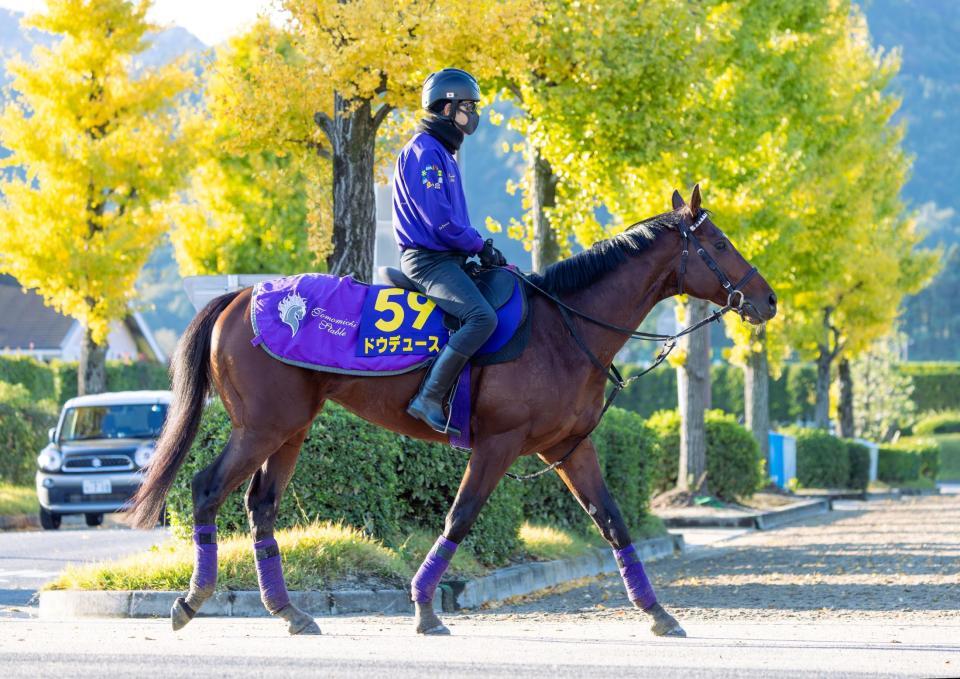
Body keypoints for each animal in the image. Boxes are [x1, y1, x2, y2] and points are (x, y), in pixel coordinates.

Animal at [127, 186, 776, 636]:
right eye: (720, 244)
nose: (767, 299)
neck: (562, 328)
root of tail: (244, 294)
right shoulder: (497, 445)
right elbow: (459, 519)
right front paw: (423, 608)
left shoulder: (570, 447)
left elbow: (612, 521)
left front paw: (657, 611)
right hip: (262, 426)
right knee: (207, 489)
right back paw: (191, 600)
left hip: (290, 429)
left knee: (260, 507)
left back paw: (288, 612)